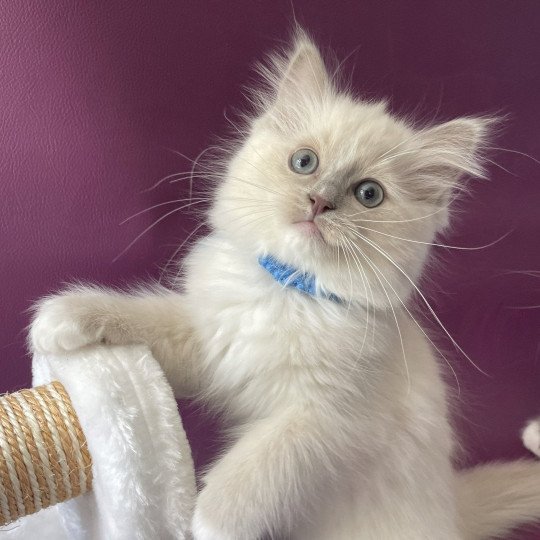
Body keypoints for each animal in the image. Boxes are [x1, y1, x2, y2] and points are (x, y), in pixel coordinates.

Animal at [30, 30, 540, 540]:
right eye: (304, 162)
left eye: (368, 194)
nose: (319, 201)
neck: (287, 292)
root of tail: (455, 511)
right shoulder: (210, 346)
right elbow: (146, 319)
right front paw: (63, 317)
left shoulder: (328, 421)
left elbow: (258, 466)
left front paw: (207, 524)